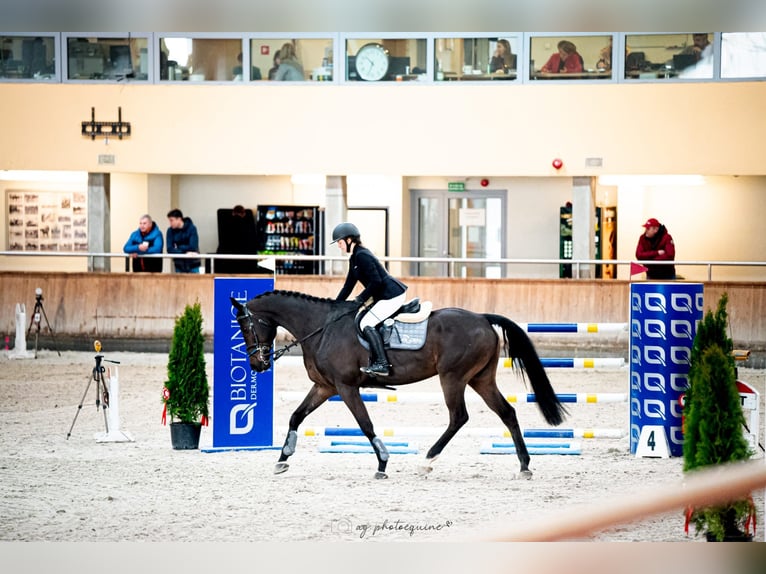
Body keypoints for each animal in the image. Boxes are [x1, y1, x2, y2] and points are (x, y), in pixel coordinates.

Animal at [231, 292, 568, 482]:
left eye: (246, 326)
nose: (257, 365)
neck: (322, 328)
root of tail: (483, 318)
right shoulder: (325, 387)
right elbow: (296, 416)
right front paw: (282, 459)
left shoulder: (345, 387)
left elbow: (365, 425)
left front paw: (382, 463)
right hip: (480, 379)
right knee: (507, 413)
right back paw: (524, 466)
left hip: (453, 377)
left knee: (459, 417)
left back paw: (427, 462)